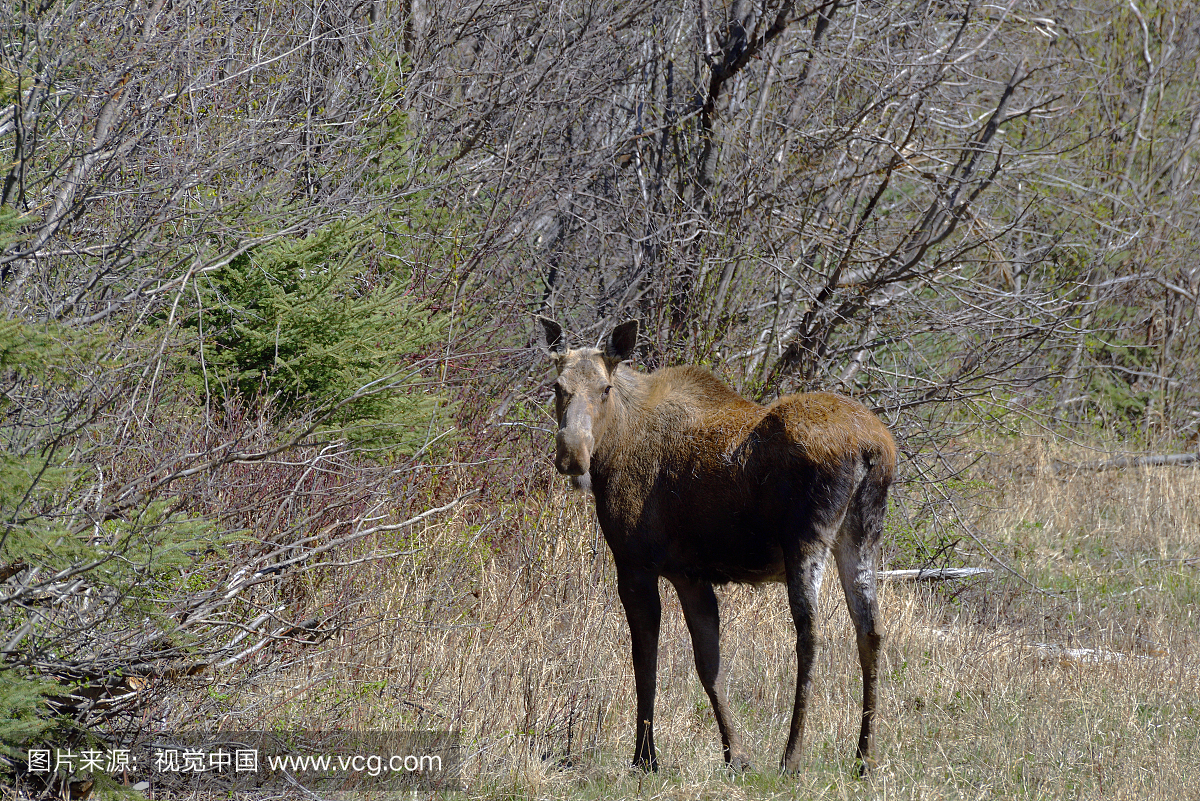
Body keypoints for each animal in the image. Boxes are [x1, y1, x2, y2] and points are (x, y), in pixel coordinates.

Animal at [540, 318, 897, 777]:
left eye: (604, 388)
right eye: (557, 386)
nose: (572, 454)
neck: (614, 443)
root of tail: (872, 450)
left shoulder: (635, 563)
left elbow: (645, 660)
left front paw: (645, 757)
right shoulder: (690, 574)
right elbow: (709, 663)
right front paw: (736, 755)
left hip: (805, 540)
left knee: (811, 636)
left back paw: (792, 756)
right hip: (861, 537)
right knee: (870, 631)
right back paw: (864, 756)